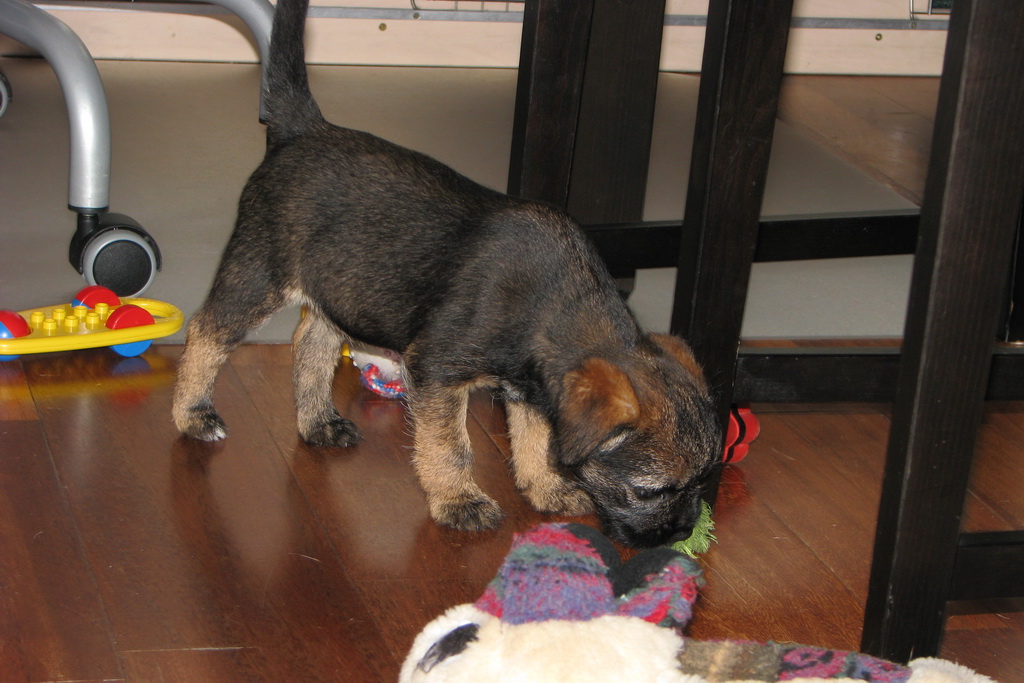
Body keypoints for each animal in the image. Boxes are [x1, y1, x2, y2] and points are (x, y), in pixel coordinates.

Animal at [172, 0, 721, 548]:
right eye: (651, 491)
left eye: (703, 482)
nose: (681, 532)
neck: (553, 305)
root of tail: (305, 129)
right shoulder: (436, 371)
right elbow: (450, 444)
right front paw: (459, 501)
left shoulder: (530, 389)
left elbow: (536, 440)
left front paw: (546, 488)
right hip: (260, 271)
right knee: (207, 330)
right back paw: (194, 414)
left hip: (345, 283)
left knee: (310, 340)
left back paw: (317, 422)